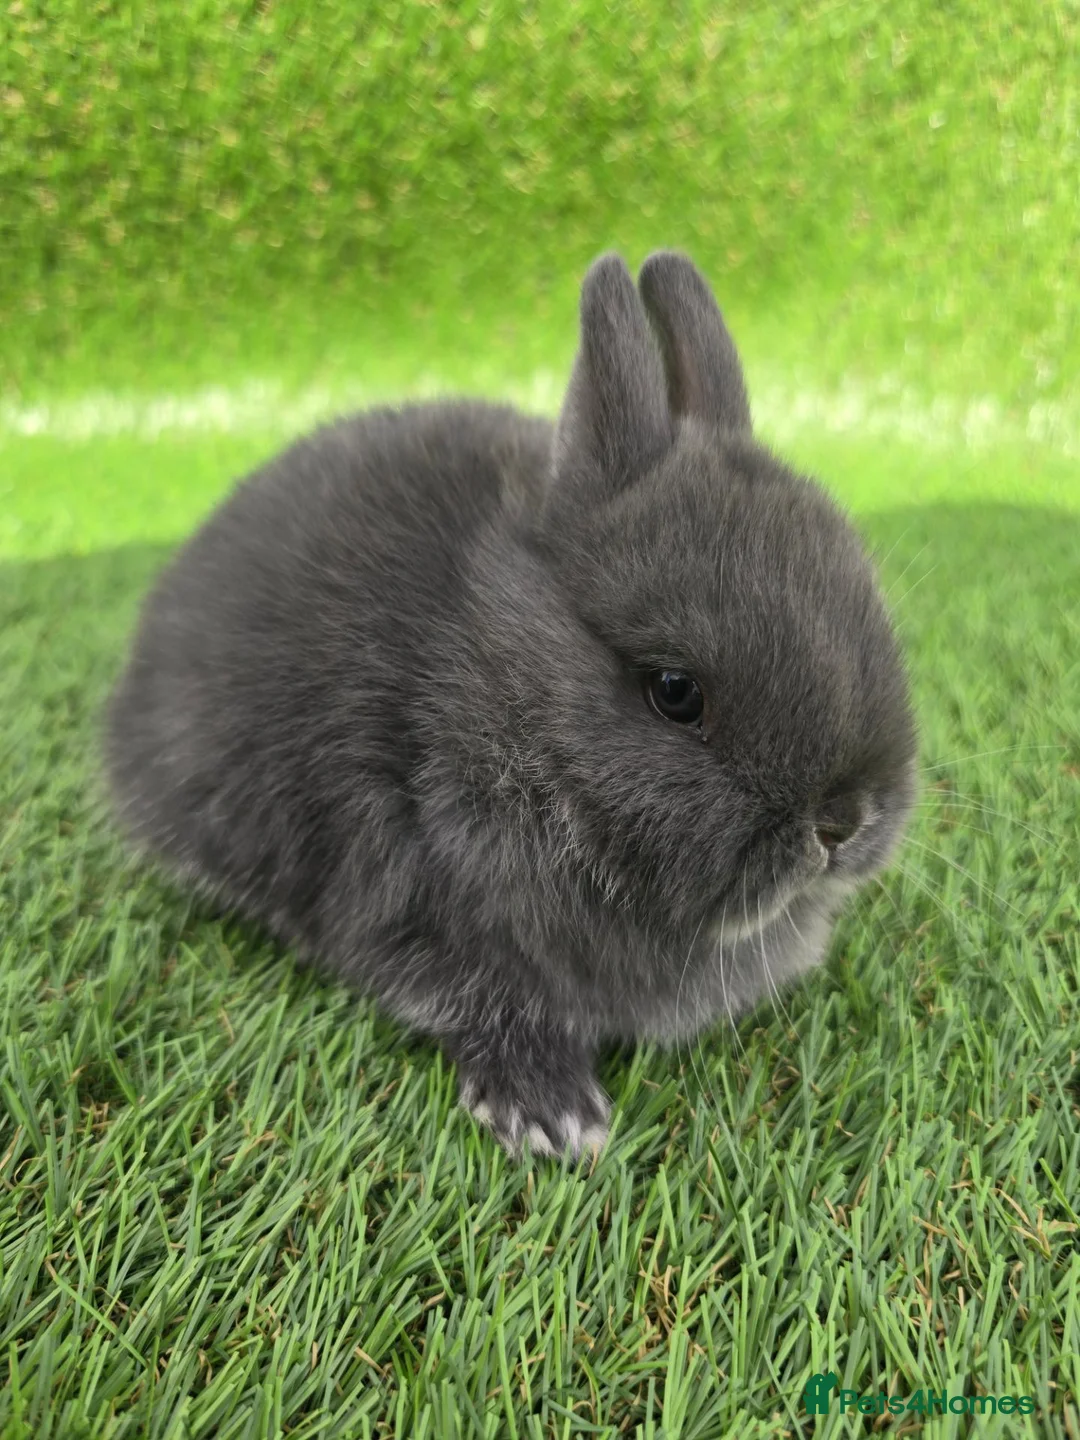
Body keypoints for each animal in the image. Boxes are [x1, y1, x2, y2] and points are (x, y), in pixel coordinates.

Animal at [104, 250, 917, 1158]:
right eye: (676, 693)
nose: (844, 823)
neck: (504, 696)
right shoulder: (410, 891)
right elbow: (482, 1001)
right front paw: (553, 1116)